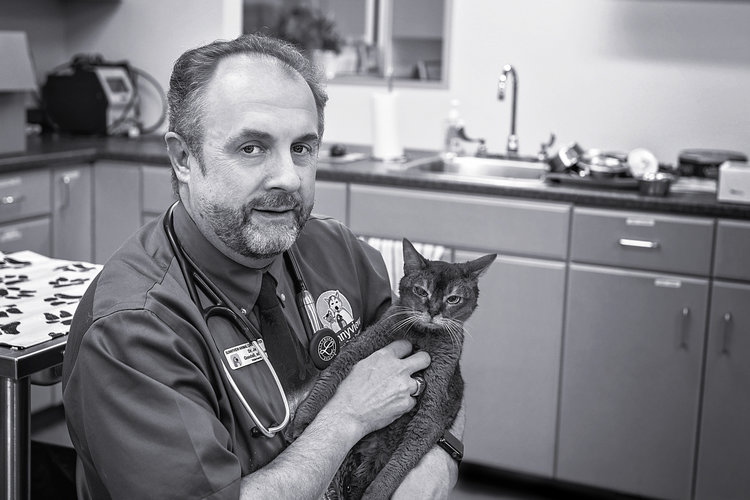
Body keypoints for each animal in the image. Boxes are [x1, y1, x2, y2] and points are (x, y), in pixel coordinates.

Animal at [290, 239, 496, 500]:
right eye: (421, 291)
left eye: (453, 299)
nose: (433, 312)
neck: (422, 336)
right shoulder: (361, 346)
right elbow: (332, 371)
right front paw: (304, 417)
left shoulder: (433, 409)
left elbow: (402, 460)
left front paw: (376, 493)